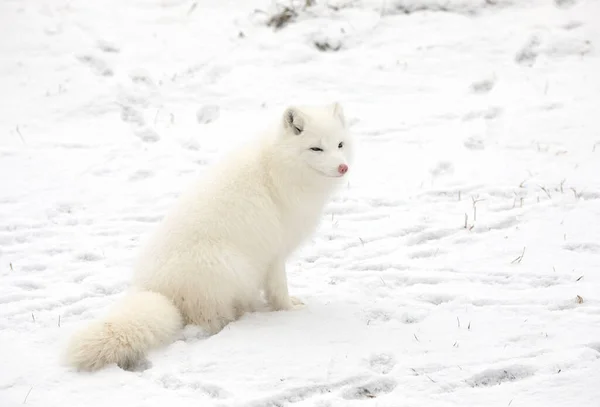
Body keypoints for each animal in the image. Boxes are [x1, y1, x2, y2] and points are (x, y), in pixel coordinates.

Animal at [64, 103, 356, 372]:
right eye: (316, 149)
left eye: (340, 145)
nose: (343, 167)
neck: (277, 169)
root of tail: (155, 290)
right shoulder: (275, 252)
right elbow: (279, 290)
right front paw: (289, 311)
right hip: (231, 266)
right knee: (215, 318)